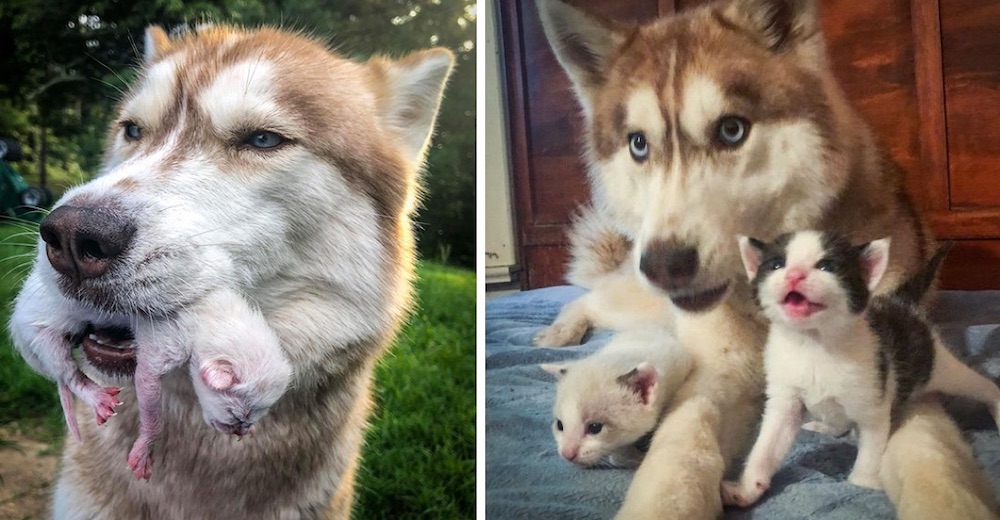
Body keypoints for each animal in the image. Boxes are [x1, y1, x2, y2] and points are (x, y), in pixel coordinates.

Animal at [126, 288, 292, 480]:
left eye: (249, 420)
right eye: (235, 416)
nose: (239, 430)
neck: (213, 318)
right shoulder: (173, 341)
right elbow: (153, 409)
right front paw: (144, 449)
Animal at [720, 231, 1000, 508]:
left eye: (827, 266)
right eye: (777, 264)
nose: (794, 275)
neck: (814, 345)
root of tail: (899, 302)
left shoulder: (873, 401)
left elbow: (870, 450)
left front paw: (862, 483)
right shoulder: (785, 398)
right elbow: (766, 446)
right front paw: (747, 488)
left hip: (936, 366)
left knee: (982, 385)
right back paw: (826, 426)